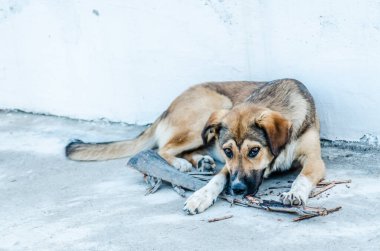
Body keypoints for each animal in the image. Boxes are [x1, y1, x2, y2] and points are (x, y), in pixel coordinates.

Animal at [64, 79, 324, 214]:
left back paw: (201, 160)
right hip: (210, 111)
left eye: (254, 151)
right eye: (228, 151)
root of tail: (168, 107)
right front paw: (200, 196)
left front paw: (294, 193)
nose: (237, 190)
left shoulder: (315, 160)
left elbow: (303, 177)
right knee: (163, 149)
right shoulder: (228, 167)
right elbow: (217, 179)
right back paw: (183, 163)